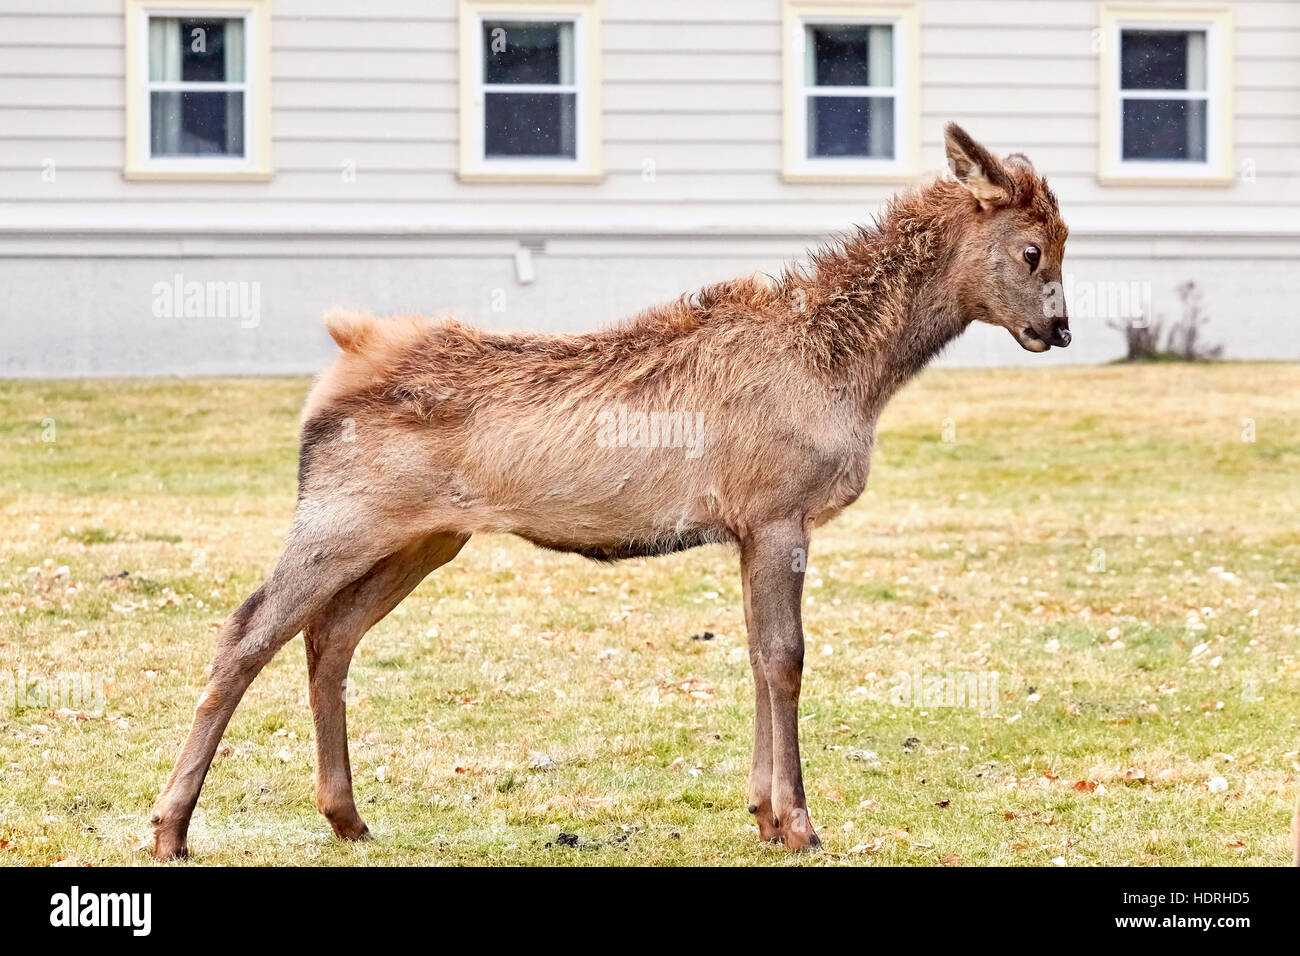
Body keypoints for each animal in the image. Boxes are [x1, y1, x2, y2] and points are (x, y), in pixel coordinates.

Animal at [150, 124, 1072, 860]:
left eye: (1062, 244)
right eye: (1034, 250)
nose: (1058, 329)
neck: (857, 374)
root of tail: (342, 358)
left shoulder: (747, 525)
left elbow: (753, 654)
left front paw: (762, 814)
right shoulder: (777, 508)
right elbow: (786, 658)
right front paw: (801, 823)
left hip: (424, 535)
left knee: (330, 635)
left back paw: (346, 816)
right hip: (342, 513)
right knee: (247, 630)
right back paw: (171, 827)